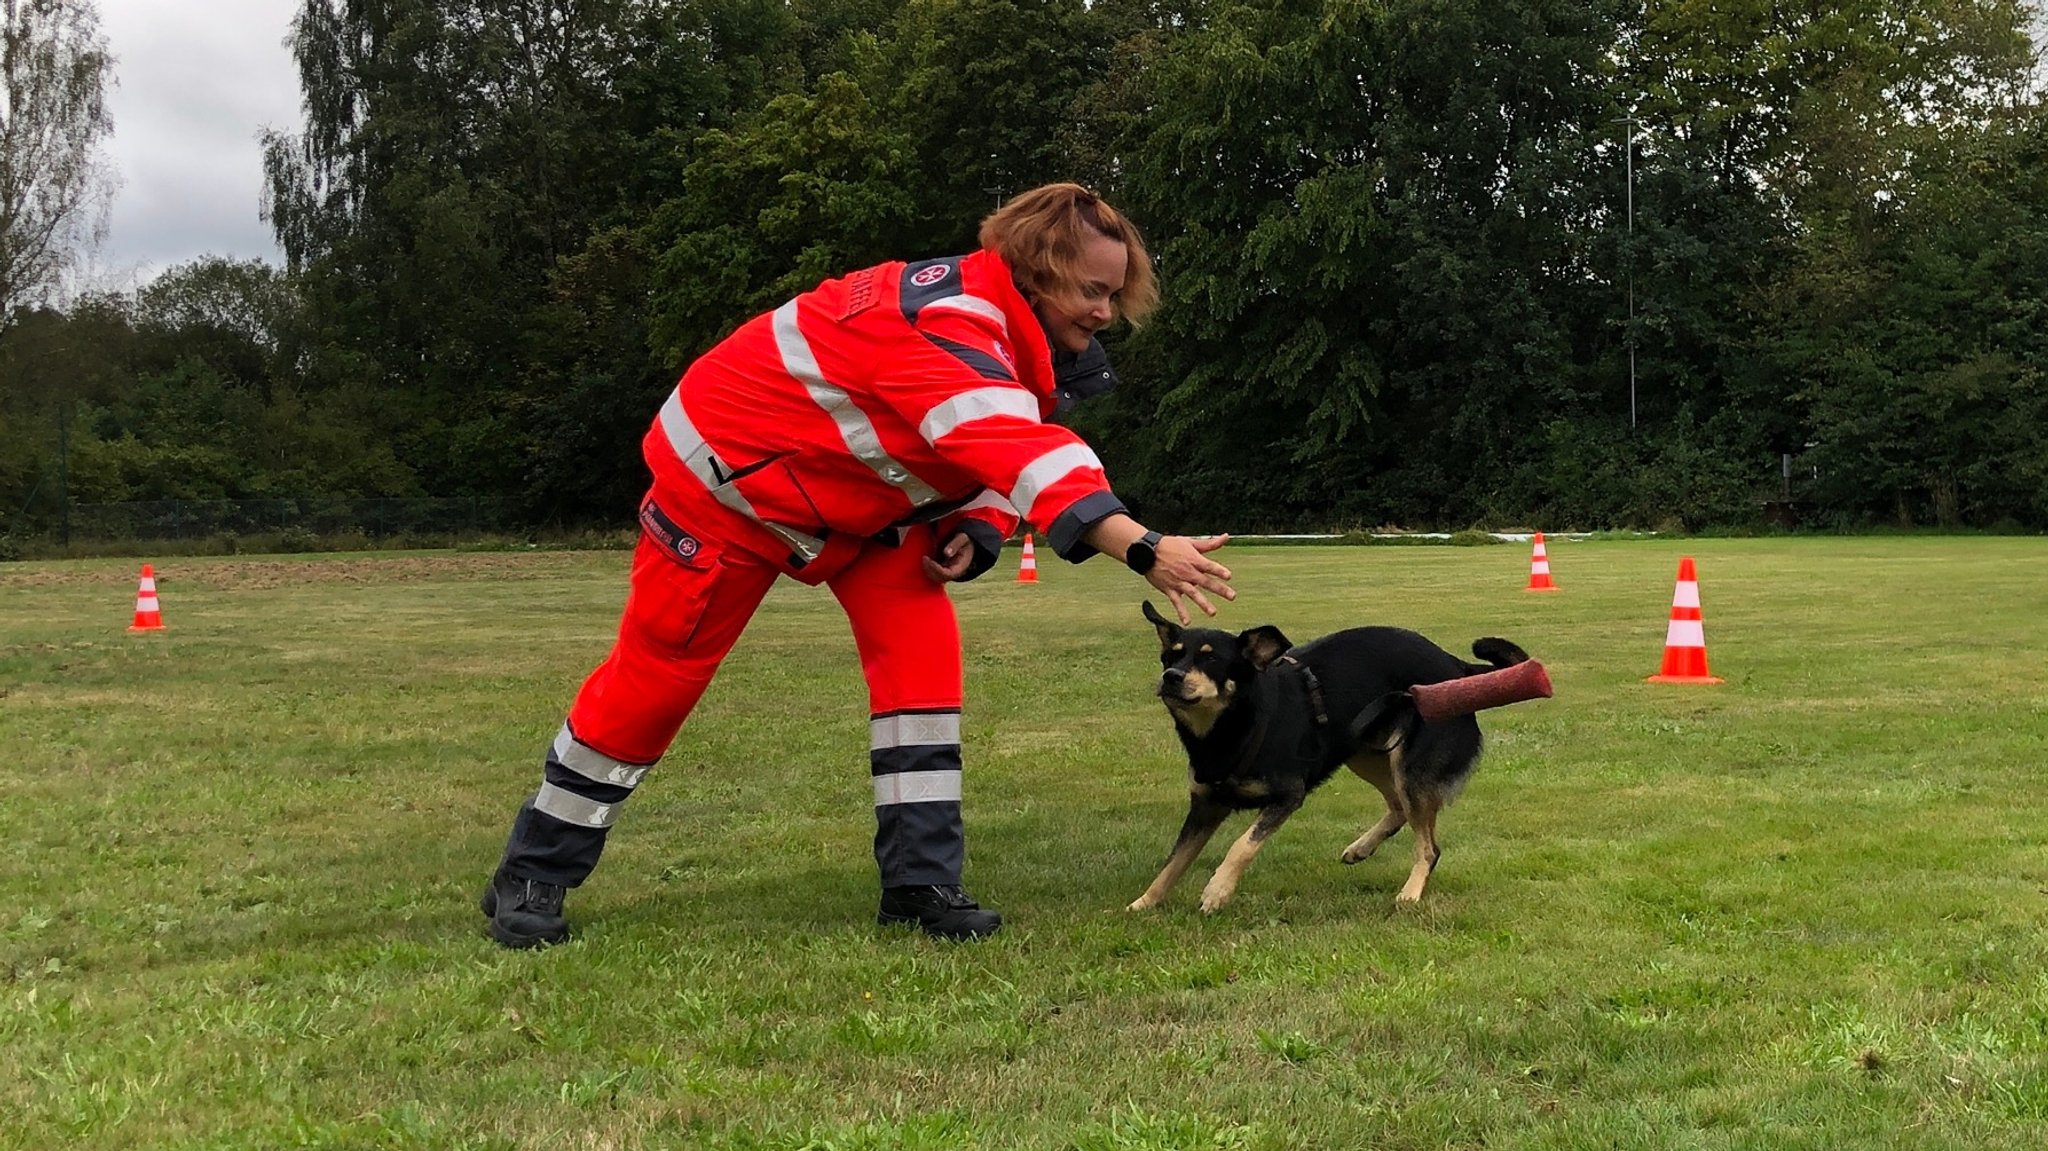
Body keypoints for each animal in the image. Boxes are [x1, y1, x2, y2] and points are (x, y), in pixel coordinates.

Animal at [1130, 602, 1531, 913]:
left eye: (1211, 659)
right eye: (1171, 655)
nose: (1171, 676)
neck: (1234, 725)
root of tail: (1458, 667)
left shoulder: (1288, 795)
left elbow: (1242, 844)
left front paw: (1217, 891)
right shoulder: (1205, 806)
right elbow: (1175, 861)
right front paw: (1144, 903)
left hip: (1411, 768)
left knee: (1428, 847)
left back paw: (1411, 892)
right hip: (1364, 753)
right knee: (1398, 807)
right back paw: (1361, 848)